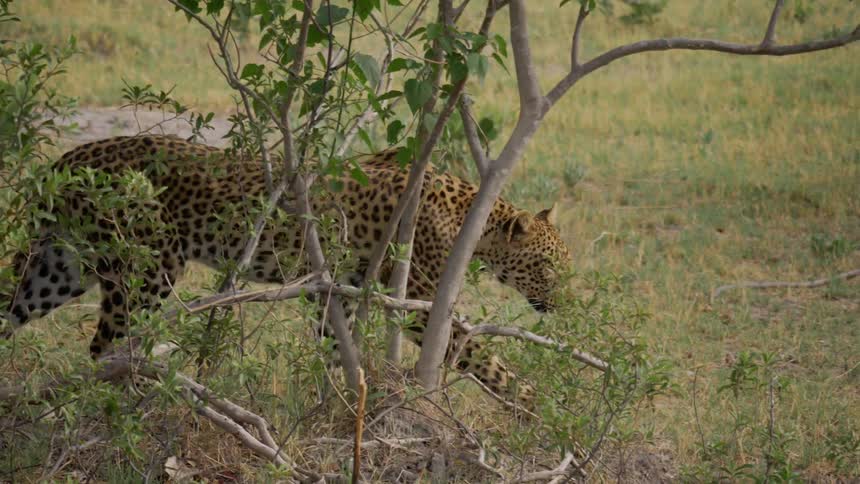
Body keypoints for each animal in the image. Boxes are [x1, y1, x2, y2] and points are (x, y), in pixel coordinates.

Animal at [1, 134, 571, 403]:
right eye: (547, 266)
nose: (563, 302)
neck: (474, 219)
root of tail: (70, 157)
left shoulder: (339, 287)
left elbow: (336, 347)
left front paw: (339, 399)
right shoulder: (419, 301)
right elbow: (487, 360)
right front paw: (538, 404)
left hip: (60, 268)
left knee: (18, 312)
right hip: (147, 267)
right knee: (107, 346)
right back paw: (139, 400)